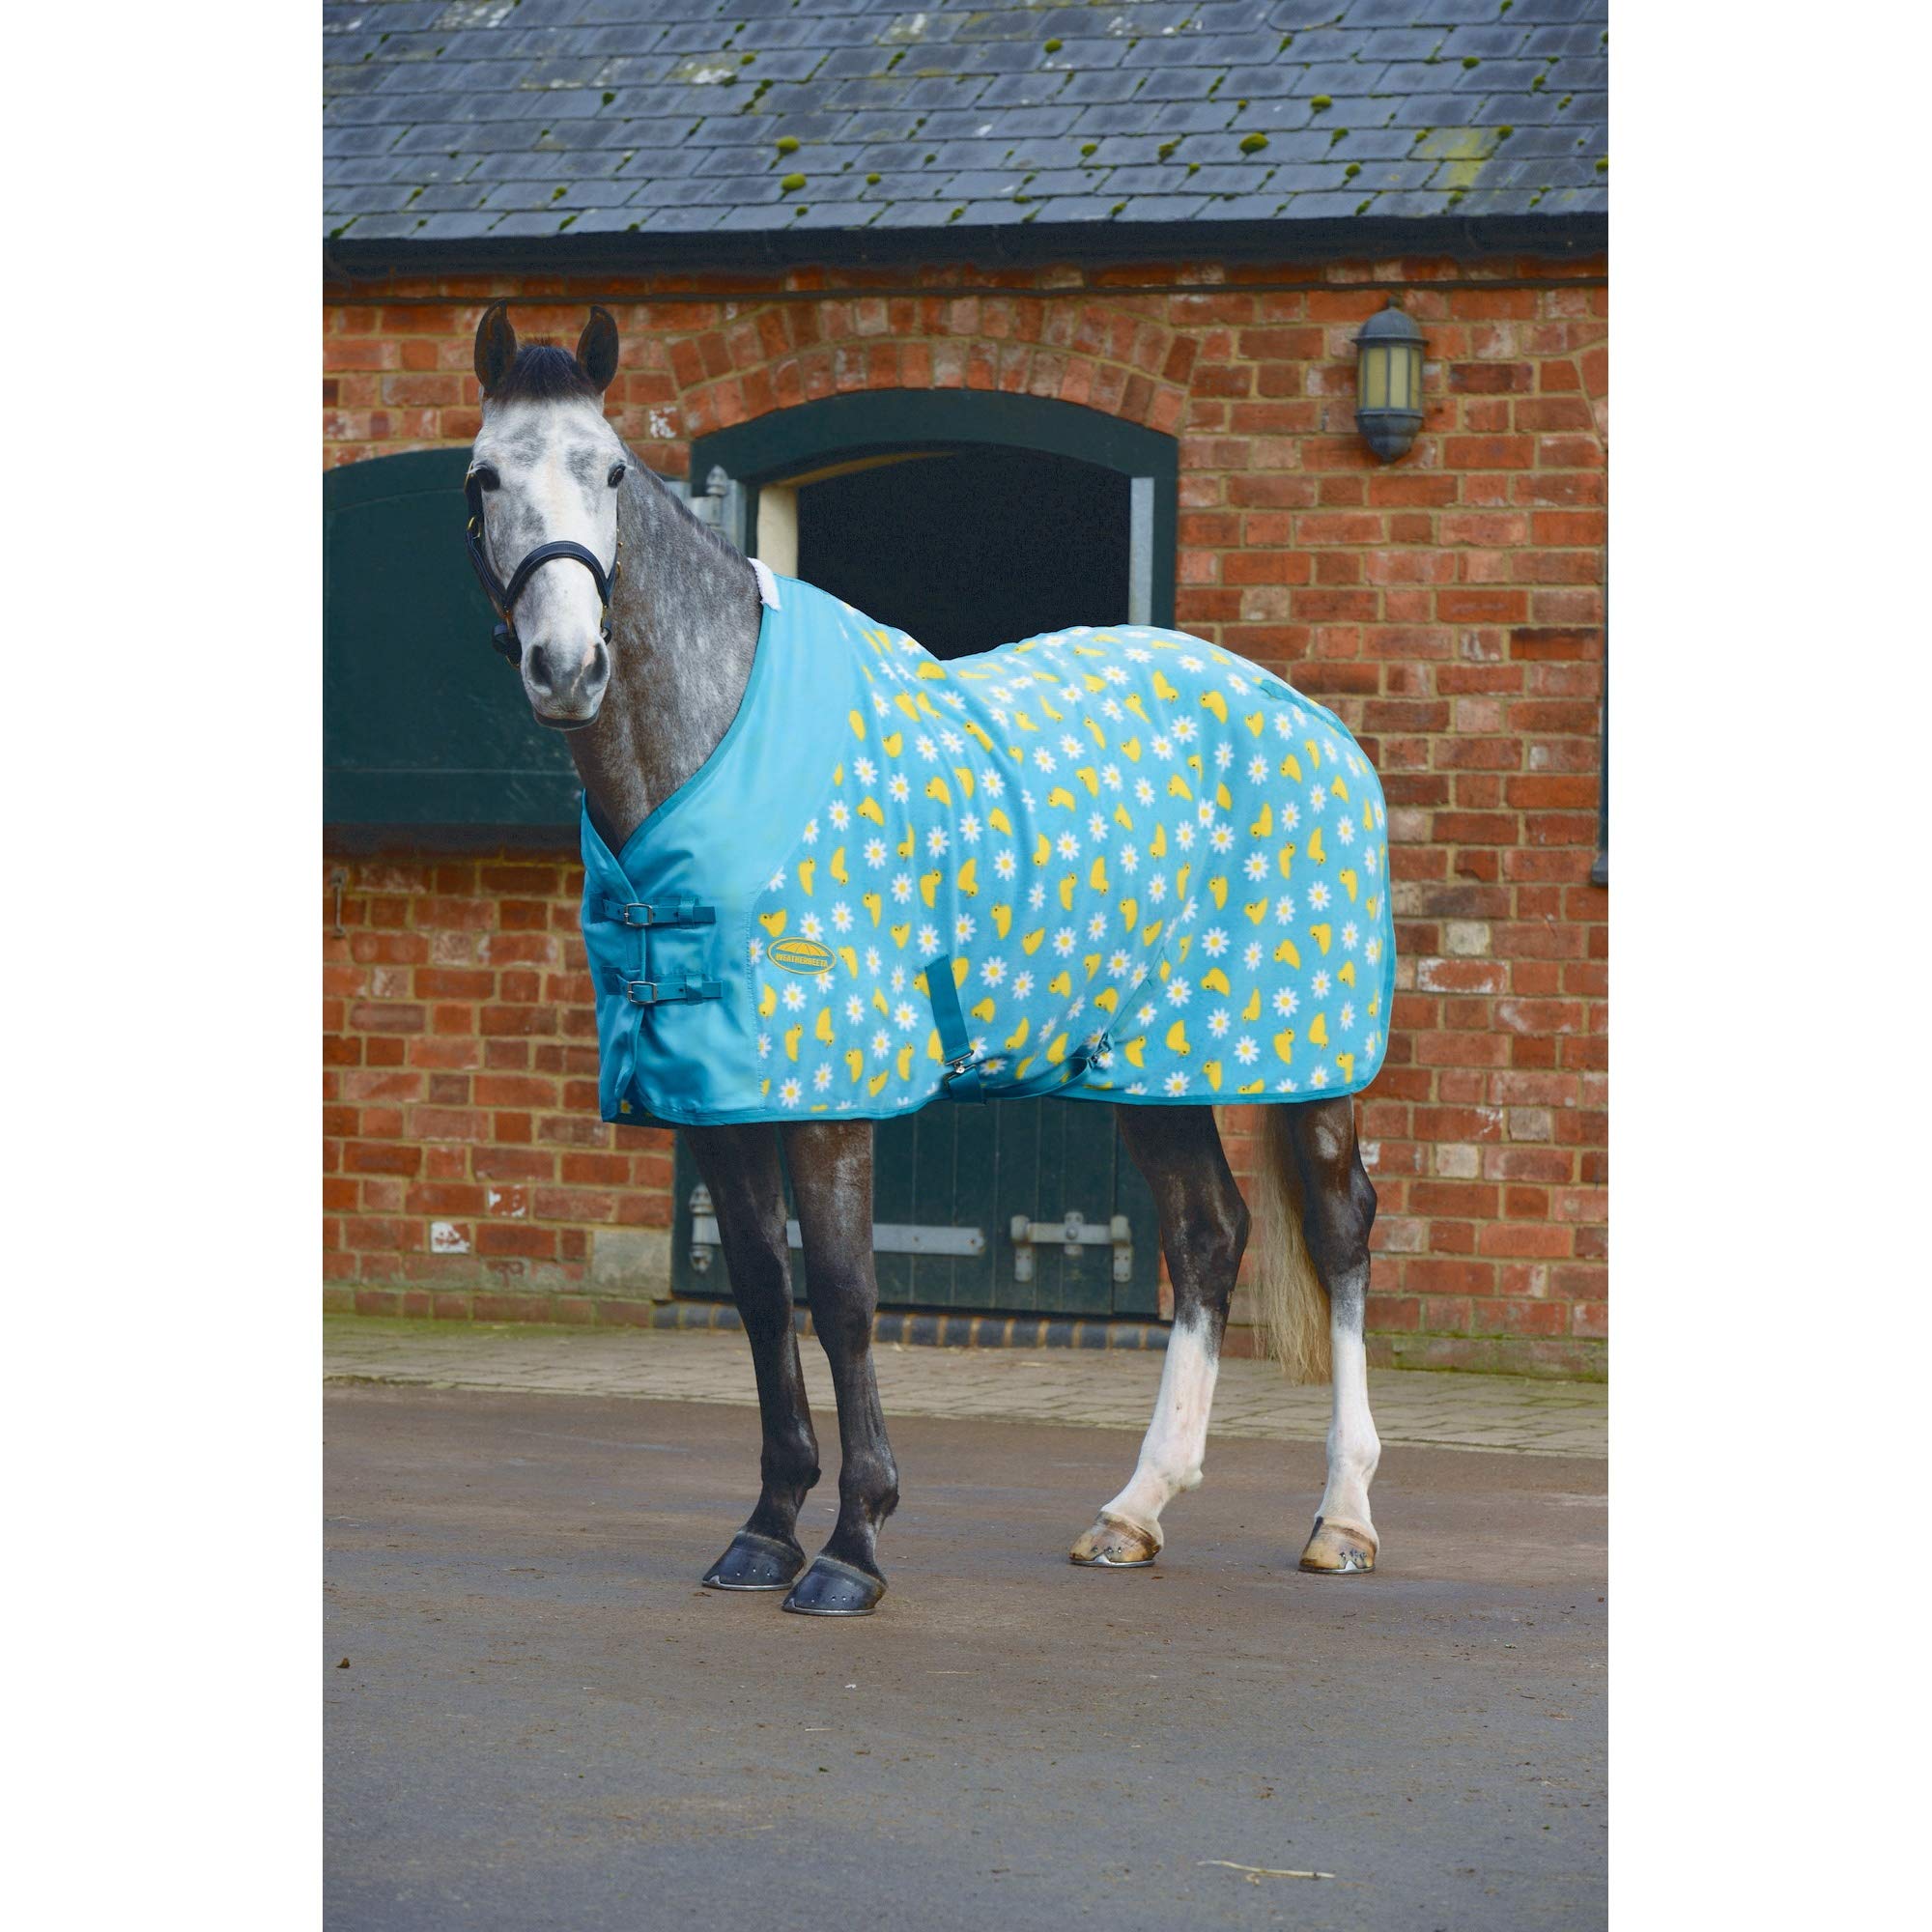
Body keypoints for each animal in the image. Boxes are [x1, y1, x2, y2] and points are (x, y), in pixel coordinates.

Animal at [461, 303, 1387, 1616]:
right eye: (483, 478)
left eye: (609, 472)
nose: (564, 664)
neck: (709, 742)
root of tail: (1309, 718)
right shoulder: (713, 1094)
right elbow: (760, 1293)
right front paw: (765, 1528)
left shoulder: (826, 1093)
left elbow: (847, 1296)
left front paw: (852, 1545)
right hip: (1146, 1064)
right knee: (1206, 1233)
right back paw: (1133, 1511)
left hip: (1304, 1056)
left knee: (1341, 1232)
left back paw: (1342, 1516)